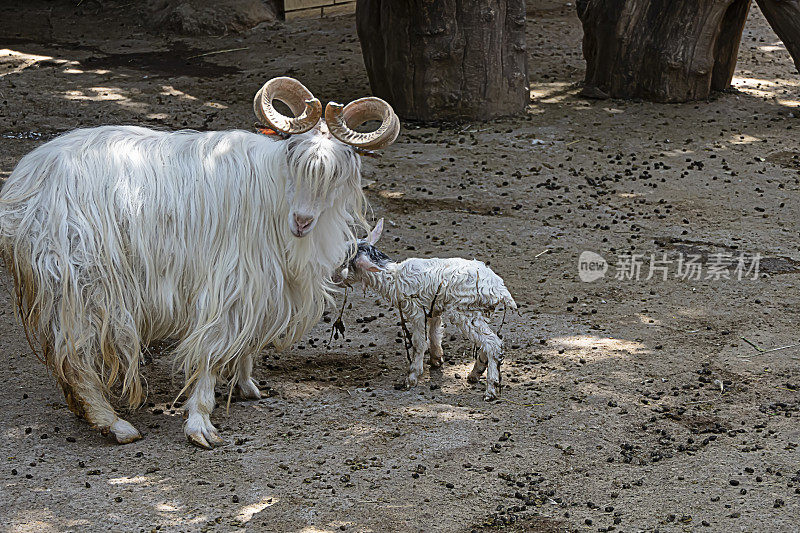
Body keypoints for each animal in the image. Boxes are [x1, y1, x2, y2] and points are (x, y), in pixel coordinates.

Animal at [0, 77, 400, 446]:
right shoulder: (227, 281)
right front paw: (200, 423)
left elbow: (245, 343)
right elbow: (211, 349)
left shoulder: (259, 285)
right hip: (83, 284)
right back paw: (114, 424)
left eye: (339, 167)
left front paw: (246, 385)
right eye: (293, 152)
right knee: (76, 357)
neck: (273, 190)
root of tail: (22, 188)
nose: (301, 221)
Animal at [340, 219, 516, 400]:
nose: (335, 277)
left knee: (493, 344)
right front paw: (436, 359)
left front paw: (412, 377)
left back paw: (491, 389)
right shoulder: (432, 309)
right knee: (488, 342)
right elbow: (434, 333)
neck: (393, 277)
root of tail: (500, 289)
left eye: (346, 260)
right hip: (480, 313)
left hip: (466, 313)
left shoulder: (416, 311)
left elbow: (419, 343)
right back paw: (476, 373)